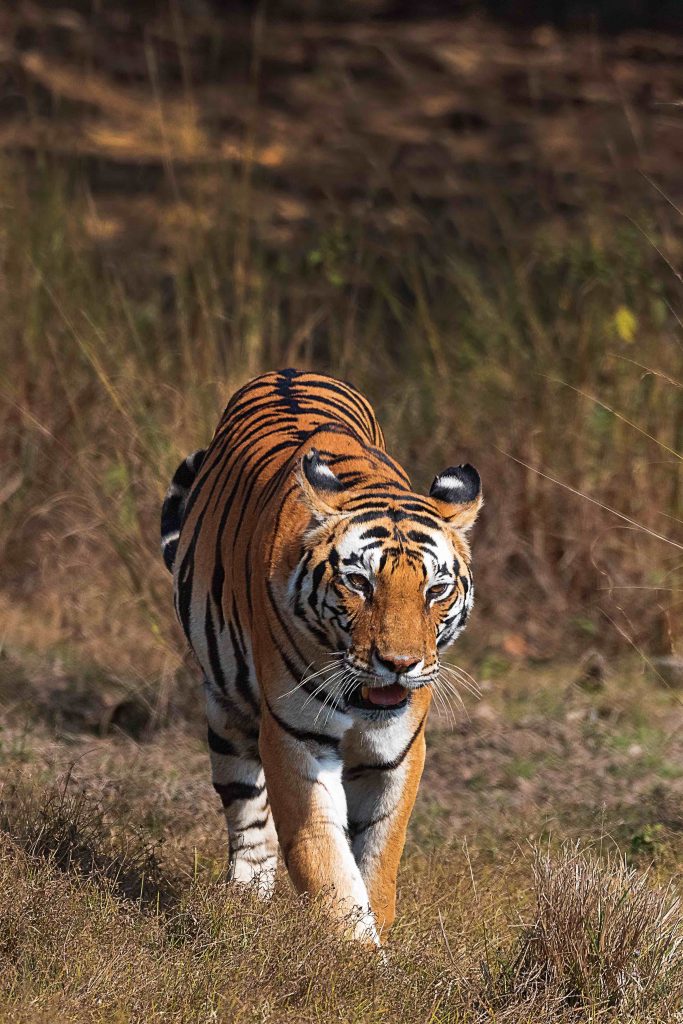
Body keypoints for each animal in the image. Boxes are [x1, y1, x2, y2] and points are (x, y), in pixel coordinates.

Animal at [161, 370, 481, 942]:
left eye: (436, 590)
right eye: (359, 583)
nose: (400, 664)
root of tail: (290, 371)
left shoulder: (397, 750)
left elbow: (377, 855)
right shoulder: (295, 739)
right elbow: (326, 862)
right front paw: (358, 955)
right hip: (226, 715)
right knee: (247, 818)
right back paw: (243, 906)